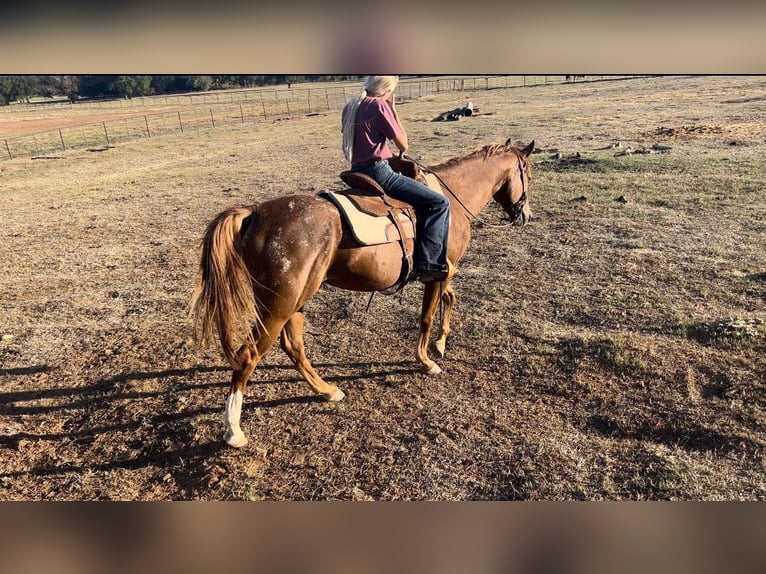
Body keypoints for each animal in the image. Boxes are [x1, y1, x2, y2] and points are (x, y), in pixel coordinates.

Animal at [190, 137, 536, 448]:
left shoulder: (445, 271)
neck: (451, 197)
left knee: (293, 346)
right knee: (249, 355)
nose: (525, 215)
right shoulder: (438, 272)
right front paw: (427, 360)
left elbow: (449, 299)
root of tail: (255, 213)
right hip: (279, 303)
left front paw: (440, 344)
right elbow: (426, 318)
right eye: (528, 174)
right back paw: (234, 430)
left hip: (294, 300)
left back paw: (327, 390)